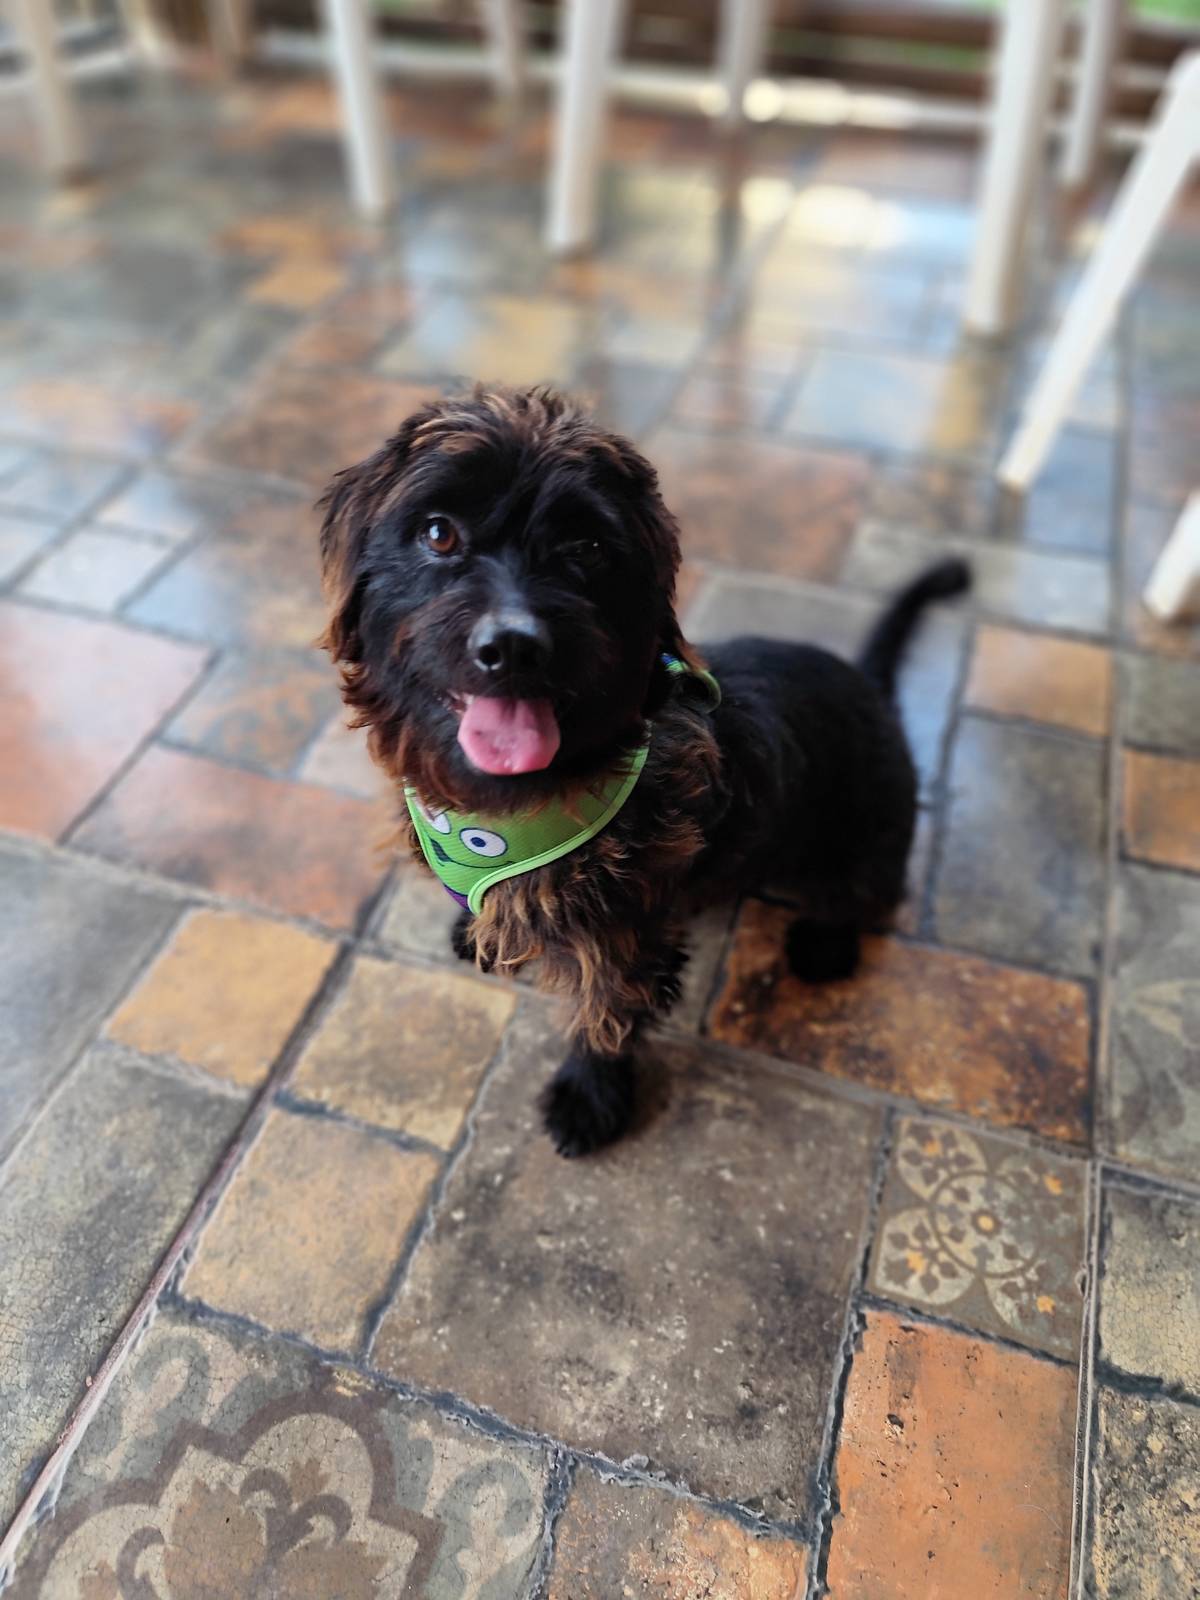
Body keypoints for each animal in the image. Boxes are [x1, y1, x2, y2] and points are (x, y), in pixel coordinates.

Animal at [319, 384, 970, 1158]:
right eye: (438, 533)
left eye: (588, 549)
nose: (512, 646)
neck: (521, 809)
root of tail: (869, 684)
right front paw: (474, 931)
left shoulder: (623, 937)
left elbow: (607, 1013)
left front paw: (589, 1094)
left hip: (862, 834)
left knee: (867, 890)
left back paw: (826, 938)